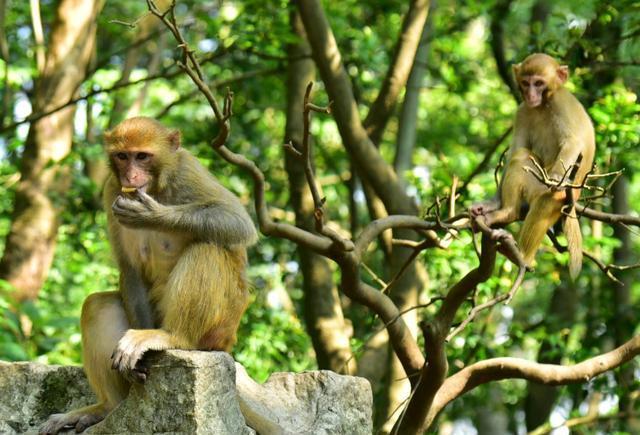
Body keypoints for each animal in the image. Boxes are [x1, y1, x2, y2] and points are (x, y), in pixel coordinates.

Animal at [40, 117, 258, 434]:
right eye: (122, 156)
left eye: (142, 156)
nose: (131, 175)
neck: (157, 187)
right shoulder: (111, 189)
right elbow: (129, 268)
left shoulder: (187, 170)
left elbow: (236, 222)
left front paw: (153, 215)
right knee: (97, 305)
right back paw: (106, 408)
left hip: (221, 326)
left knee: (207, 247)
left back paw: (173, 336)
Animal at [470, 53, 596, 280]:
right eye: (525, 83)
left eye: (538, 83)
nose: (530, 94)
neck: (543, 105)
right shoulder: (522, 111)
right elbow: (516, 149)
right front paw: (490, 203)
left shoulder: (561, 103)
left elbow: (573, 142)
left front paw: (556, 177)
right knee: (520, 157)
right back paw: (505, 212)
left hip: (559, 193)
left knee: (549, 199)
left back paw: (522, 256)